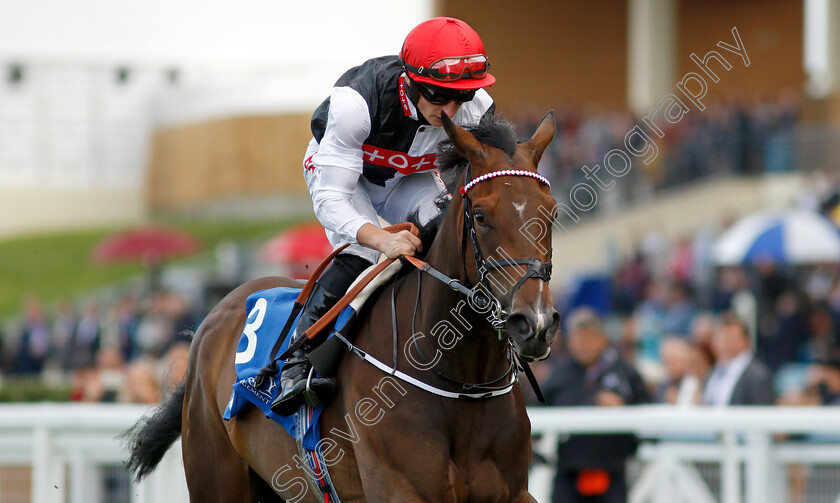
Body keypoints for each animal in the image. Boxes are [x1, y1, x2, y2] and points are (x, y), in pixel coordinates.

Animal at [126, 111, 556, 503]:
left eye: (550, 212)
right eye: (480, 216)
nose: (534, 323)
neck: (462, 382)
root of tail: (216, 313)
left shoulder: (515, 493)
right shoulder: (401, 490)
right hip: (216, 477)